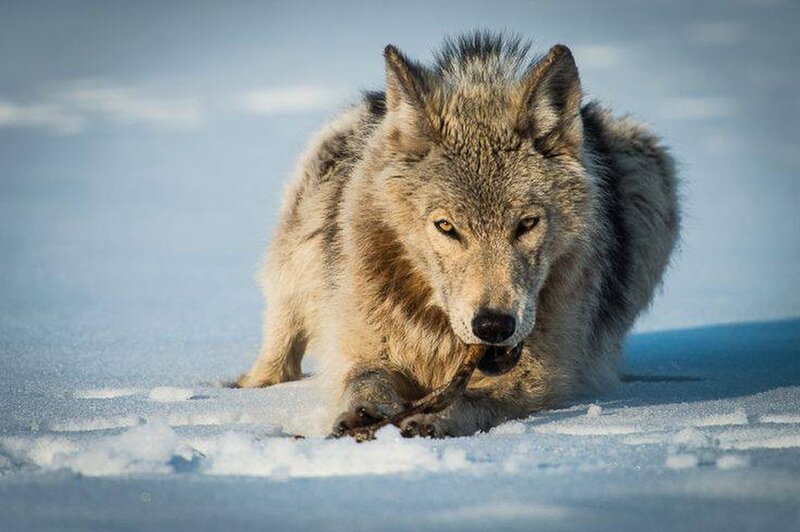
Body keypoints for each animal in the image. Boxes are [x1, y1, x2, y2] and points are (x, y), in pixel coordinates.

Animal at [236, 32, 680, 437]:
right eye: (446, 226)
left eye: (526, 224)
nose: (494, 326)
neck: (437, 335)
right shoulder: (366, 345)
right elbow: (365, 379)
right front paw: (363, 412)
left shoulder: (535, 380)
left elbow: (473, 400)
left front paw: (430, 420)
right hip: (301, 243)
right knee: (281, 337)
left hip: (649, 171)